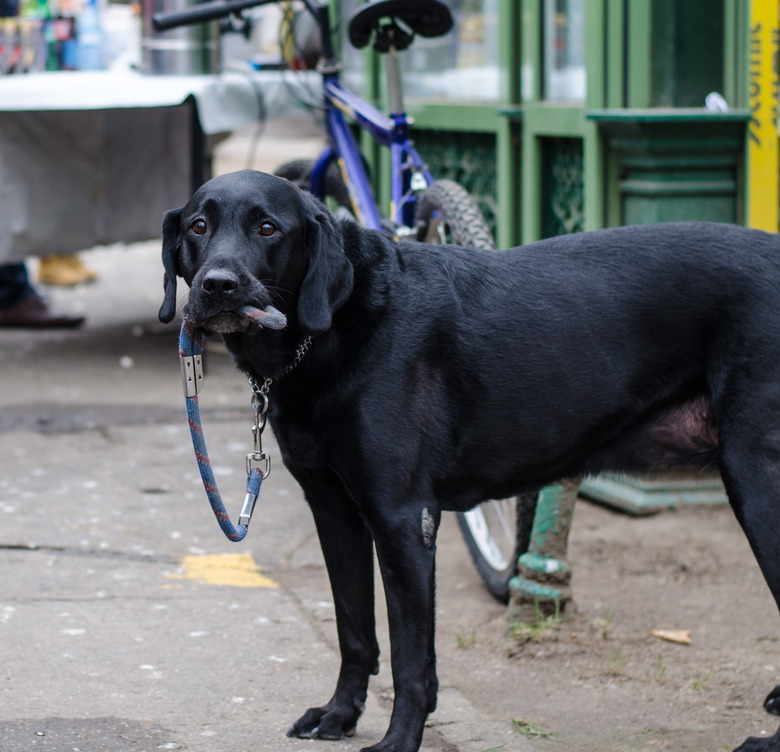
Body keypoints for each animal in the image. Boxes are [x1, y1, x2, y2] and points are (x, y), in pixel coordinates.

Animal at [161, 170, 780, 752]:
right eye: (199, 226)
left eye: (268, 228)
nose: (218, 285)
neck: (338, 324)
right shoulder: (334, 510)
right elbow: (355, 629)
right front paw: (339, 716)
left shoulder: (403, 519)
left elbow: (410, 657)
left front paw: (398, 741)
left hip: (758, 484)